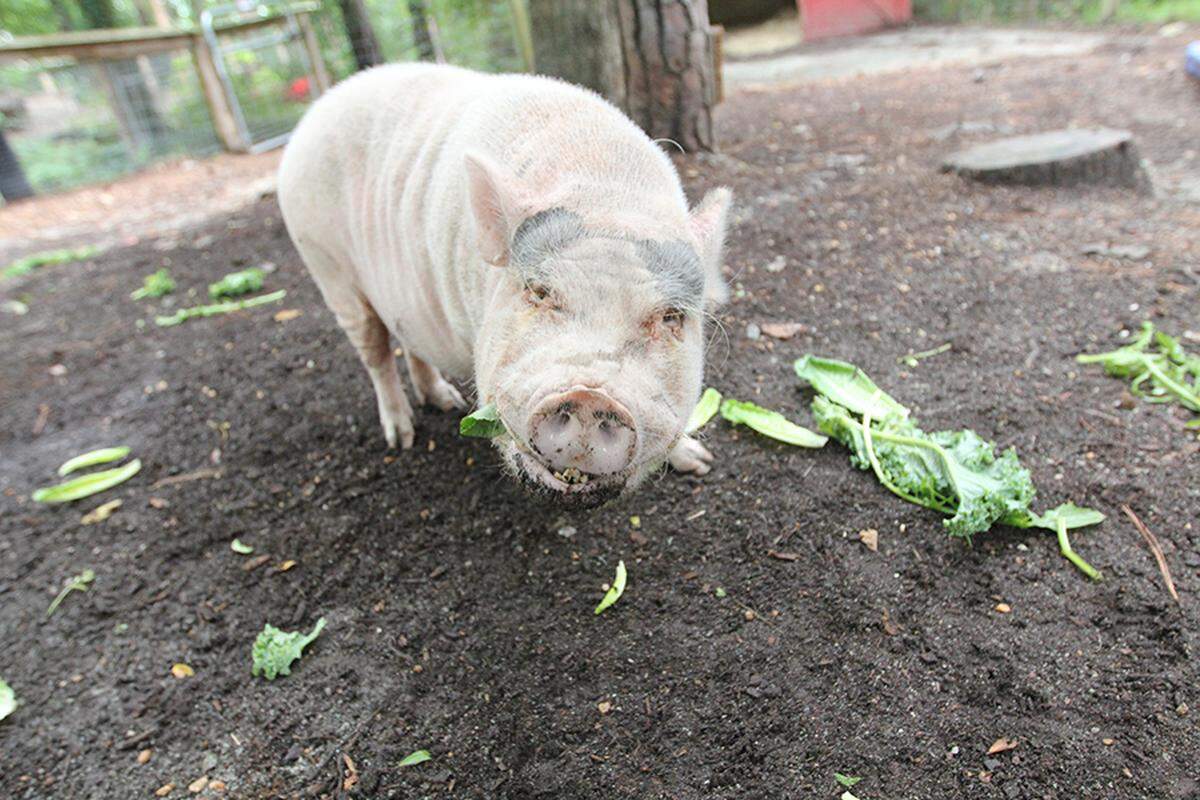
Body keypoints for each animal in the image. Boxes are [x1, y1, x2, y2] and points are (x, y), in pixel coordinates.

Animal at [277, 63, 731, 507]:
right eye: (537, 291)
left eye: (671, 317)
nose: (589, 398)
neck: (610, 198)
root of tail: (317, 109)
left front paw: (701, 463)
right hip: (326, 265)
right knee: (375, 352)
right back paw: (402, 437)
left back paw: (443, 400)